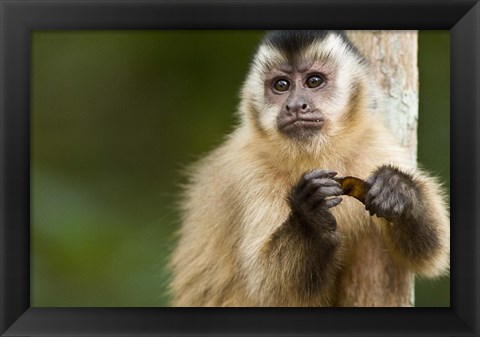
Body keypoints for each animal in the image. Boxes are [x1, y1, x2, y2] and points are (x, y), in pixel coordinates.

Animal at [169, 30, 450, 306]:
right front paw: (310, 216)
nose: (295, 105)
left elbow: (428, 252)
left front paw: (399, 189)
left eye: (314, 81)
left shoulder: (374, 144)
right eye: (281, 85)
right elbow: (271, 289)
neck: (314, 155)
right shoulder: (247, 170)